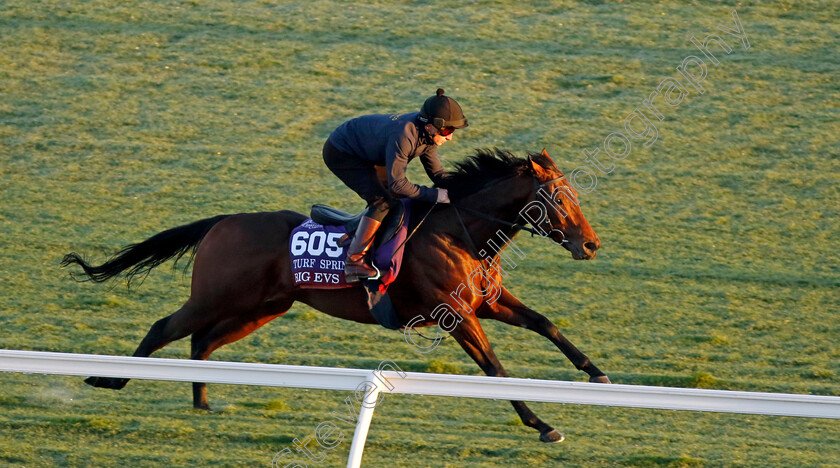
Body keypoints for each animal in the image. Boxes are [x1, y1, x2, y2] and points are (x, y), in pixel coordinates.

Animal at [62, 149, 608, 442]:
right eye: (558, 197)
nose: (590, 244)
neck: (458, 231)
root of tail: (223, 220)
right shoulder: (456, 314)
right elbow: (495, 367)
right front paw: (542, 423)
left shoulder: (487, 302)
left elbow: (546, 323)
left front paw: (596, 374)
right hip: (216, 297)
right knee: (165, 328)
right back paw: (108, 379)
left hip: (260, 308)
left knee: (202, 344)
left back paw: (202, 403)